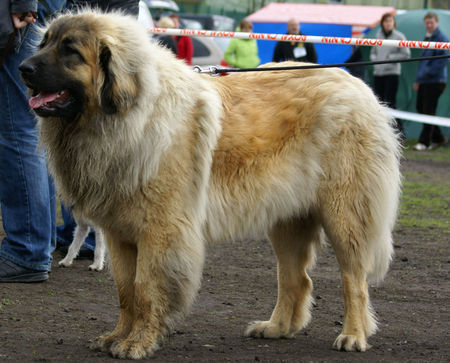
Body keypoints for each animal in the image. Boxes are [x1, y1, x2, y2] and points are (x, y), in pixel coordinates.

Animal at [19, 9, 402, 360]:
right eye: (44, 42)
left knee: (353, 279)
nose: (23, 67)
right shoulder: (119, 234)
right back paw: (276, 327)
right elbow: (125, 291)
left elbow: (145, 290)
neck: (124, 117)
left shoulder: (160, 232)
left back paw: (353, 335)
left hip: (344, 217)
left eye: (70, 51)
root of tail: (357, 86)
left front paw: (137, 343)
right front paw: (117, 336)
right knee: (296, 278)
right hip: (286, 220)